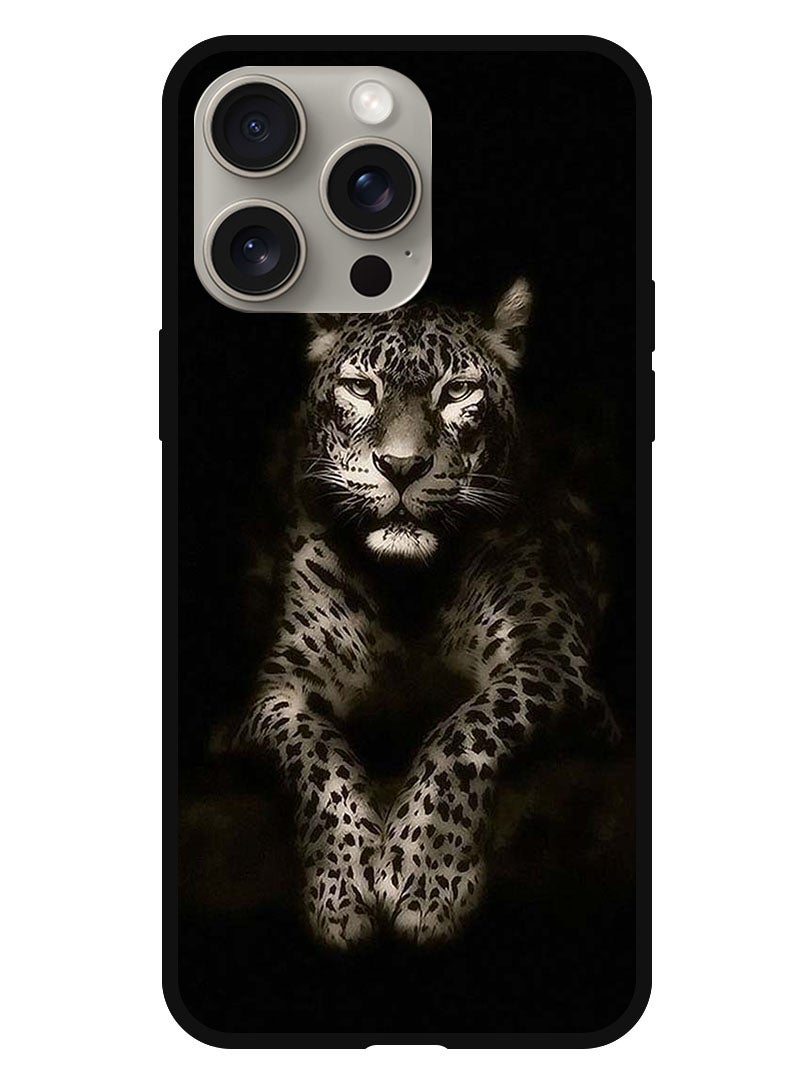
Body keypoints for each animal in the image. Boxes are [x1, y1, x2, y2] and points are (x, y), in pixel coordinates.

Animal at [234, 279, 619, 948]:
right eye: (362, 388)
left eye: (457, 391)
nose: (402, 466)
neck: (407, 590)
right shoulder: (279, 689)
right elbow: (317, 755)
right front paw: (342, 887)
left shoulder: (555, 660)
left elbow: (465, 729)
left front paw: (424, 876)